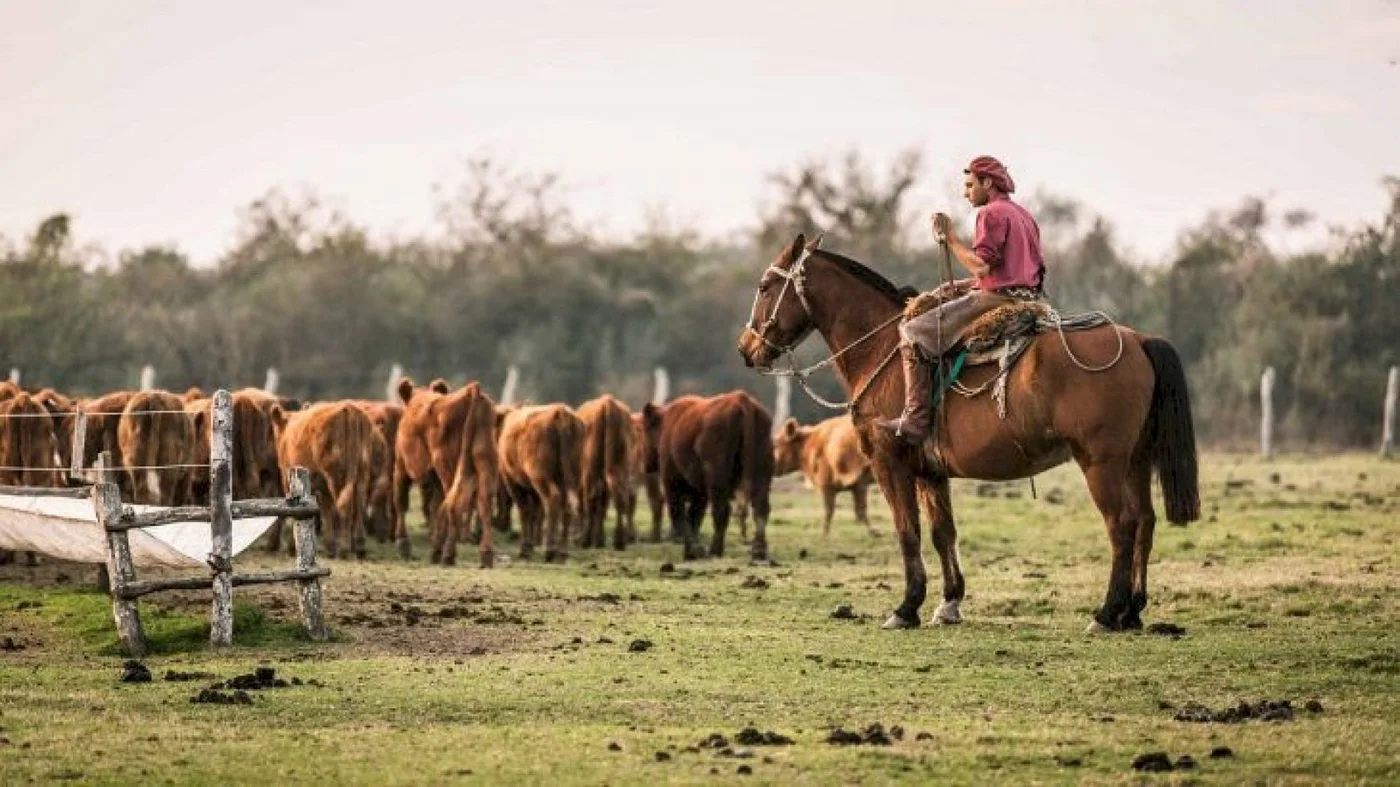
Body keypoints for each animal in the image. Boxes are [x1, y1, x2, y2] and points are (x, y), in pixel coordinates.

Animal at [270, 397, 372, 557]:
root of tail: (349, 408)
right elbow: (326, 509)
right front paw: (330, 545)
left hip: (335, 476)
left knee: (344, 505)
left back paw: (344, 549)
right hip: (362, 473)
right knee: (359, 504)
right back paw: (359, 546)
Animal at [501, 400, 582, 560]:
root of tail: (560, 411)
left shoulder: (513, 482)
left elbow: (525, 510)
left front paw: (525, 548)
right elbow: (535, 511)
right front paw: (530, 545)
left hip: (540, 477)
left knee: (553, 499)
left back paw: (550, 549)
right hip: (573, 477)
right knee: (567, 506)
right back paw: (562, 550)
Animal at [574, 394, 635, 548]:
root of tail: (607, 403)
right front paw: (599, 539)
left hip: (590, 471)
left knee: (591, 499)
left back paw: (586, 540)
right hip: (620, 465)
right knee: (620, 496)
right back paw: (619, 540)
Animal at [638, 389, 772, 560]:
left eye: (644, 431)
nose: (645, 464)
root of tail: (741, 400)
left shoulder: (672, 482)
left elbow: (680, 514)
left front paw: (686, 546)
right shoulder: (700, 491)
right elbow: (695, 516)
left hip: (716, 478)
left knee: (722, 510)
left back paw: (715, 550)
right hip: (762, 474)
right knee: (761, 509)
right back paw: (758, 551)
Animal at [739, 233, 1198, 630]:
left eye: (764, 286)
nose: (746, 349)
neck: (883, 349)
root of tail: (1139, 340)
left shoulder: (890, 464)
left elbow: (907, 532)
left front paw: (906, 607)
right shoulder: (930, 472)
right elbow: (943, 533)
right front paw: (949, 603)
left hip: (1101, 462)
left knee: (1121, 525)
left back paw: (1106, 613)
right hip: (1135, 460)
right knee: (1145, 521)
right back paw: (1132, 611)